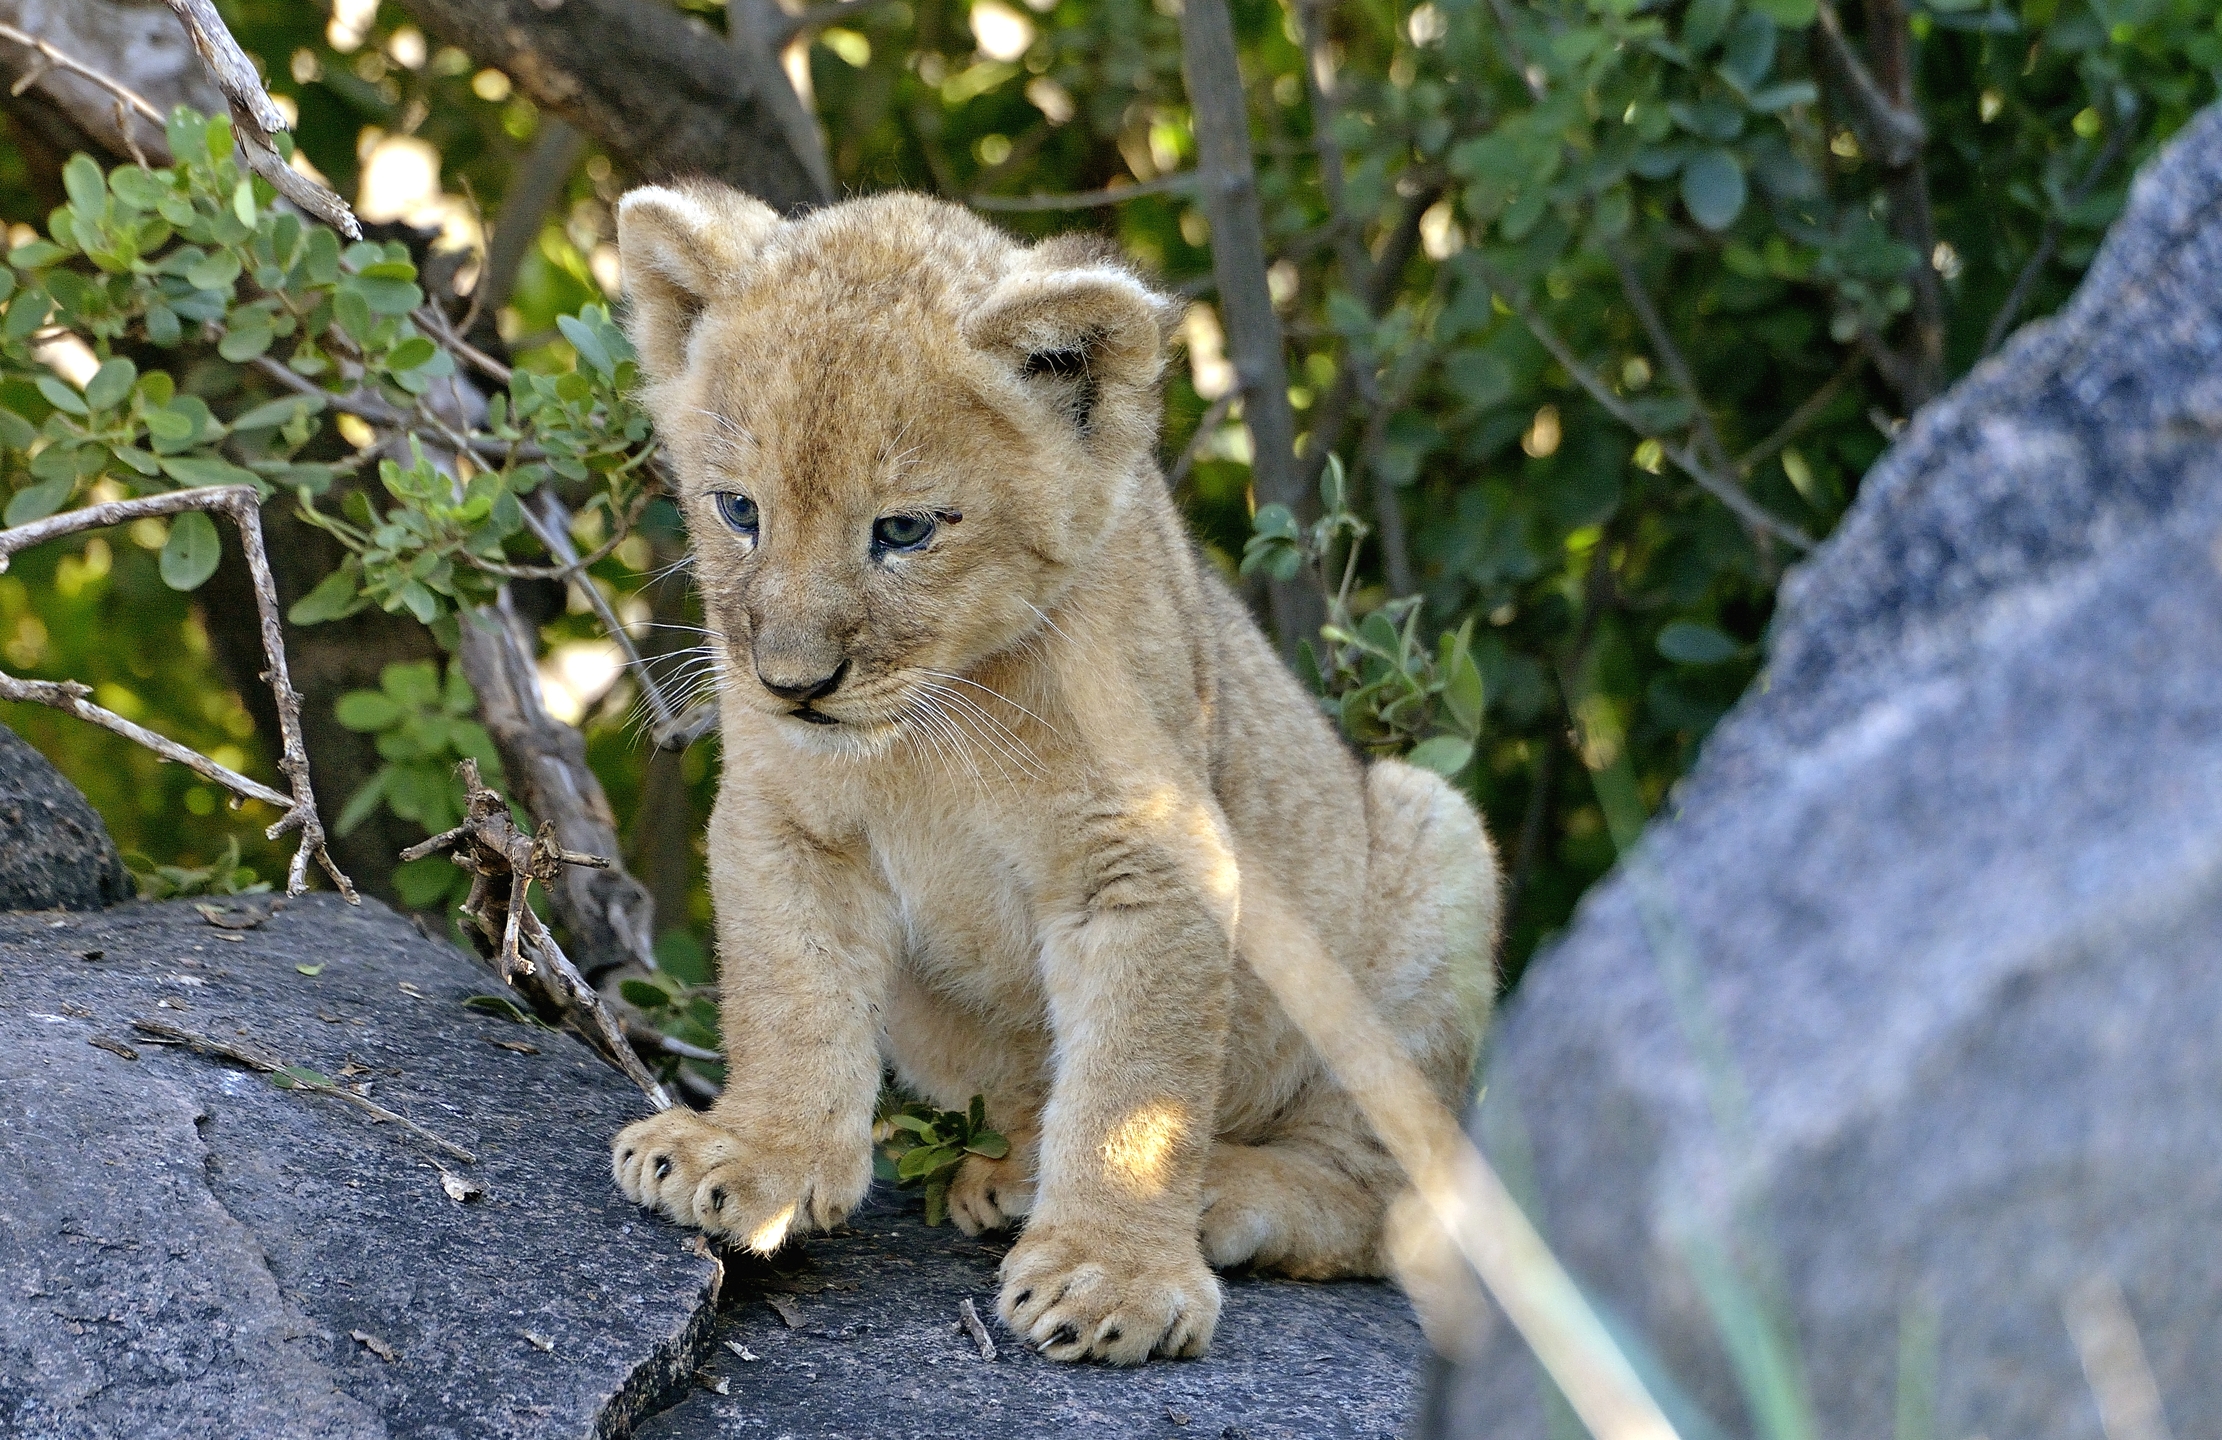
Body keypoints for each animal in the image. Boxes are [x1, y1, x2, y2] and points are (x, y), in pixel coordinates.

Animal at [606, 181, 1500, 1365]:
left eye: (902, 531)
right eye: (739, 510)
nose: (793, 685)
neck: (932, 730)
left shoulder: (1150, 851)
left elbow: (1137, 1085)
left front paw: (1111, 1279)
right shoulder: (783, 819)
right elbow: (789, 993)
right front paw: (750, 1155)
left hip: (1433, 839)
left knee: (1381, 1198)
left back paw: (1215, 1192)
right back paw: (1009, 1170)